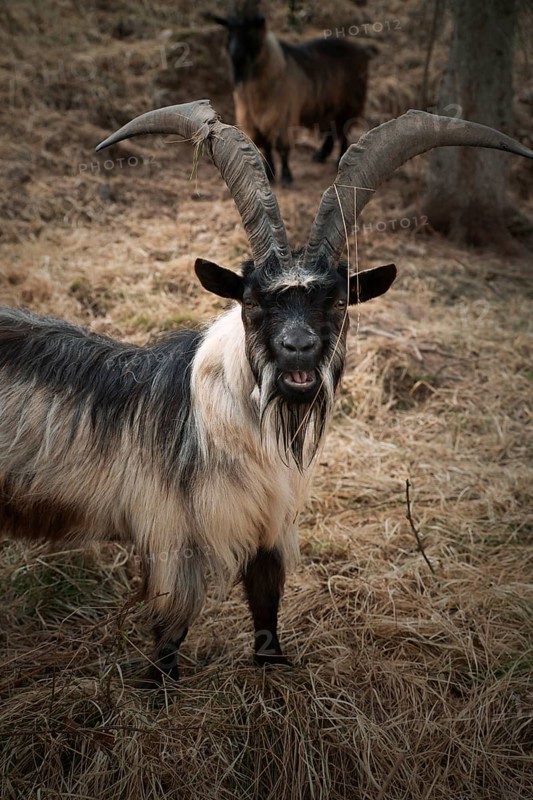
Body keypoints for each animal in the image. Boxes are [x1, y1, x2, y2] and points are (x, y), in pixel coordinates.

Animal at [1, 100, 532, 687]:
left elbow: (266, 616)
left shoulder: (268, 534)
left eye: (338, 302)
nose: (297, 349)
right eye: (252, 301)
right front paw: (158, 693)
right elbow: (168, 638)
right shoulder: (172, 541)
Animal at [206, 1, 375, 185]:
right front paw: (270, 174)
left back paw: (339, 159)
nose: (235, 53)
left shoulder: (282, 116)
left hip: (350, 102)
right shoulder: (254, 118)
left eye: (250, 30)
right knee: (333, 129)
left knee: (344, 130)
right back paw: (320, 155)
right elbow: (266, 147)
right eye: (229, 30)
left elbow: (282, 147)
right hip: (332, 104)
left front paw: (286, 176)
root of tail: (361, 50)